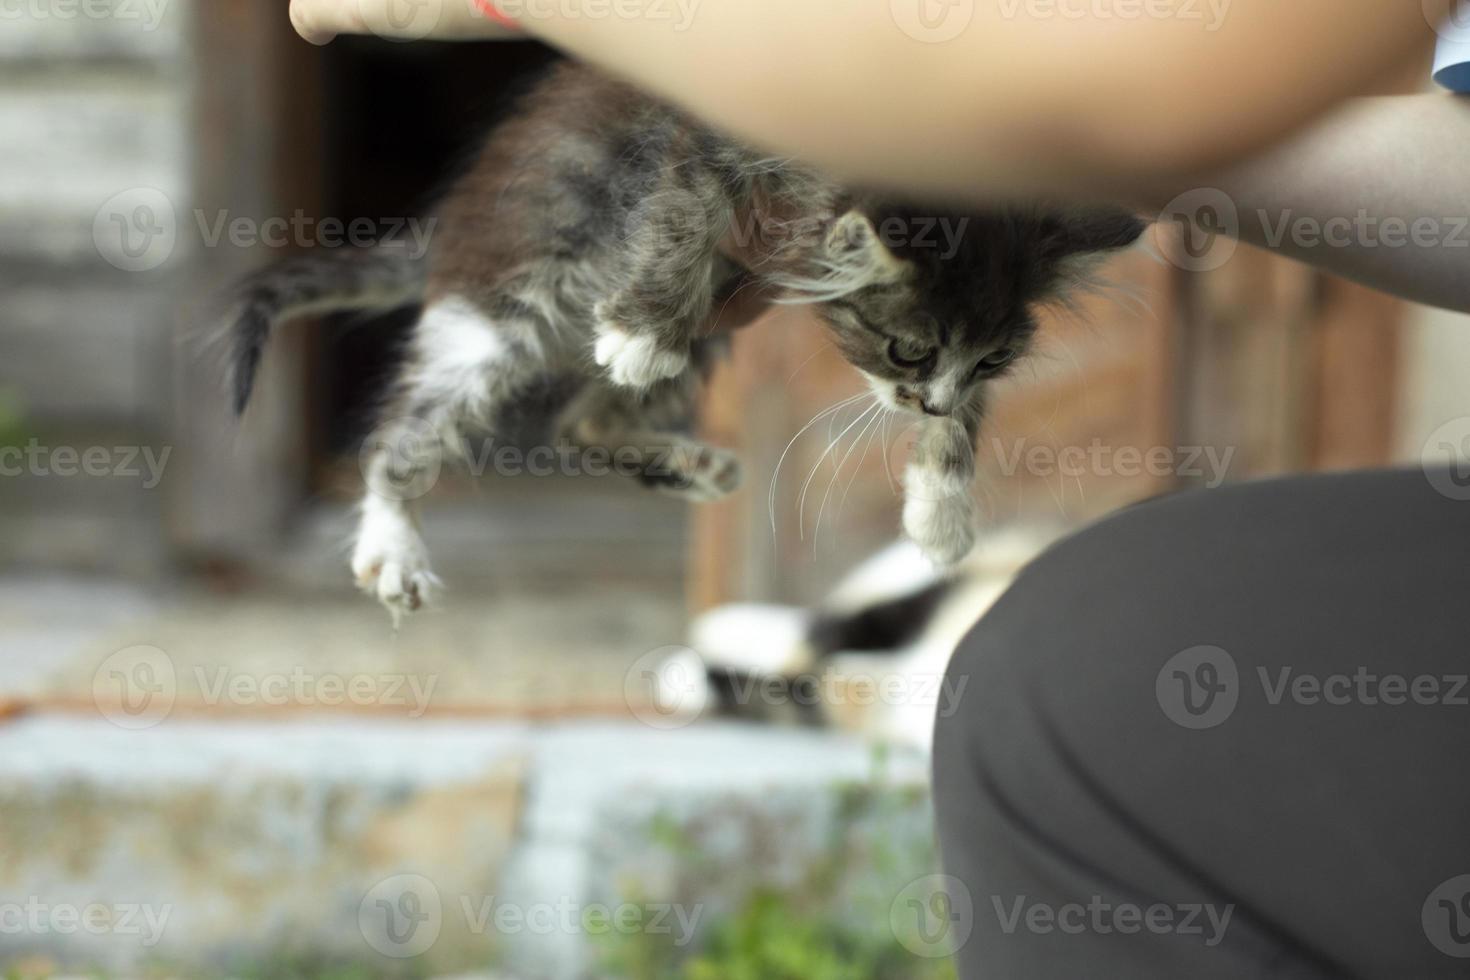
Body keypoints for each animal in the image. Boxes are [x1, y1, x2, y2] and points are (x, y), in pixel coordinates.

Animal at [223, 61, 1146, 620]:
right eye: (908, 351)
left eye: (991, 360)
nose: (930, 396)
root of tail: (454, 226)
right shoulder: (703, 133)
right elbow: (682, 210)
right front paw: (641, 327)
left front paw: (942, 505)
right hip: (503, 301)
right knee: (403, 430)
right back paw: (393, 543)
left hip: (708, 336)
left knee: (581, 422)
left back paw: (691, 462)